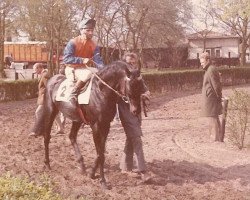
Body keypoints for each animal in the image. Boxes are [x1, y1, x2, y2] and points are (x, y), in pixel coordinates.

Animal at [33, 61, 143, 189]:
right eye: (131, 86)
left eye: (141, 86)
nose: (136, 111)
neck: (100, 92)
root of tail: (52, 79)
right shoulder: (96, 126)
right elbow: (100, 154)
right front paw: (103, 181)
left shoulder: (106, 125)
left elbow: (101, 152)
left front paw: (92, 174)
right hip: (51, 111)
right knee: (47, 137)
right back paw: (47, 164)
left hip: (77, 119)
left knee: (72, 136)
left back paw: (82, 165)